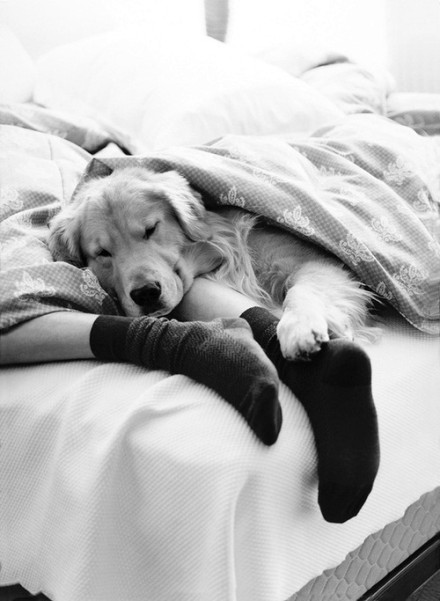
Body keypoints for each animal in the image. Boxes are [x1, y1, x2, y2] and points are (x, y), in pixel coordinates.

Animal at [49, 167, 374, 360]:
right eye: (102, 253)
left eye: (151, 229)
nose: (145, 293)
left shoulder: (320, 261)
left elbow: (300, 290)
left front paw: (300, 326)